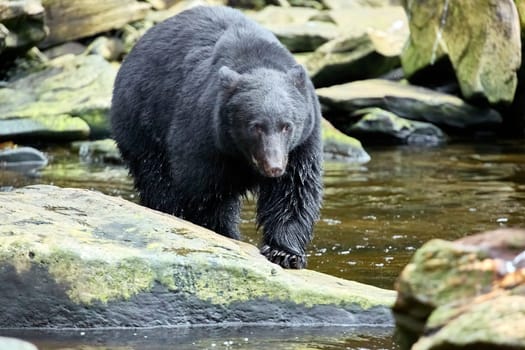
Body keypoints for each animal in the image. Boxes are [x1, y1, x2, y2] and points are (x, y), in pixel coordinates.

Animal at [111, 4, 322, 268]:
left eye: (287, 126)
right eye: (256, 126)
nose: (274, 167)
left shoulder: (302, 143)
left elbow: (295, 190)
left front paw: (285, 252)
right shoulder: (205, 133)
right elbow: (204, 192)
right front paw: (224, 234)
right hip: (141, 121)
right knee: (157, 178)